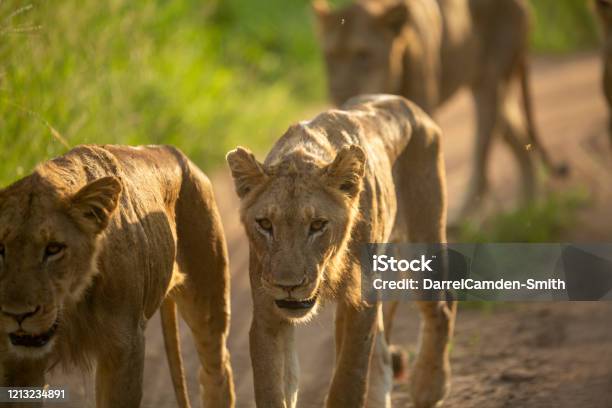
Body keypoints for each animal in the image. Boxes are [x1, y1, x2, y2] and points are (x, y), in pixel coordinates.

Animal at [0, 145, 234, 406]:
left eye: (53, 248)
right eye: (0, 248)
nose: (17, 314)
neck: (73, 304)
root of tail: (175, 151)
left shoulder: (126, 347)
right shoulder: (17, 362)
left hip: (208, 303)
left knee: (216, 371)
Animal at [227, 95, 456, 408]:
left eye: (317, 225)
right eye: (265, 224)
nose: (288, 286)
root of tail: (409, 105)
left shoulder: (361, 302)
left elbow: (348, 380)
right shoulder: (268, 313)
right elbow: (271, 389)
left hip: (422, 244)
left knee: (441, 309)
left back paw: (428, 387)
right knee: (383, 356)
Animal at [314, 0, 568, 217]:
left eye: (363, 55)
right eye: (330, 56)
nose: (338, 90)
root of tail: (523, 4)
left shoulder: (421, 113)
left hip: (490, 84)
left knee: (483, 153)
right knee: (520, 141)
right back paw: (531, 209)